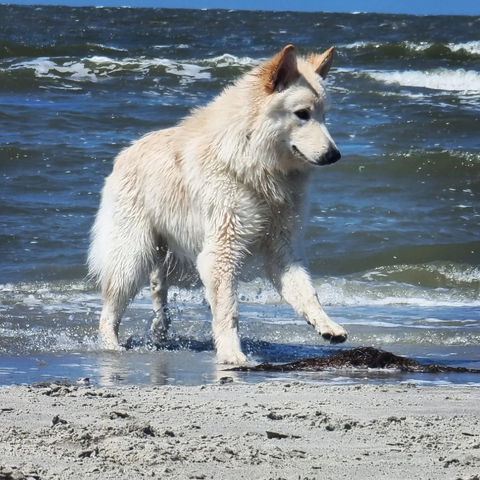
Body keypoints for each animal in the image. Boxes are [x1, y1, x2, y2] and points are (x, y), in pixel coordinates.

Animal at [88, 44, 347, 364]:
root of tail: (124, 154)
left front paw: (326, 325)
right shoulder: (222, 250)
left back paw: (160, 335)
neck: (255, 164)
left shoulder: (283, 247)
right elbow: (228, 310)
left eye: (324, 116)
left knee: (158, 297)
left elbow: (307, 292)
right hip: (131, 254)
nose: (335, 155)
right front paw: (232, 354)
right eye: (302, 114)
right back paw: (112, 349)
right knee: (109, 310)